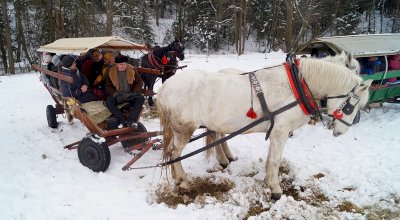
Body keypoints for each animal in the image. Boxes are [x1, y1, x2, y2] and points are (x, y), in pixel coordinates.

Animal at [156, 57, 372, 200]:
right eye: (352, 106)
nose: (340, 132)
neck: (297, 86)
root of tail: (164, 89)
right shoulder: (281, 131)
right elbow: (275, 160)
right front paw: (275, 188)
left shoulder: (276, 132)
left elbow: (271, 158)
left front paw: (268, 179)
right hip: (184, 129)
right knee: (175, 152)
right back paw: (183, 181)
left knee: (174, 151)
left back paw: (178, 176)